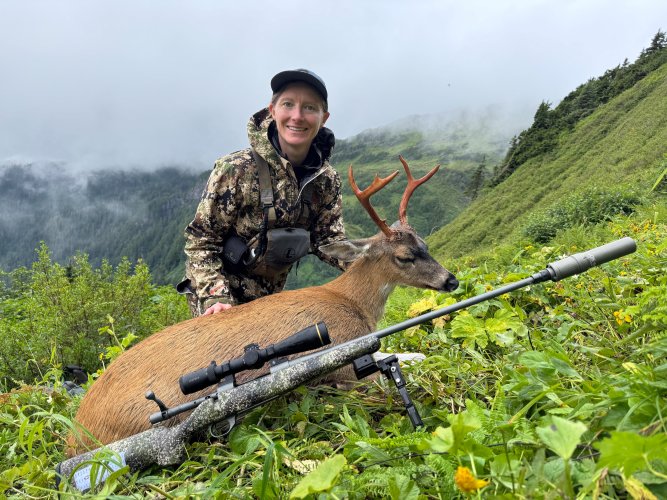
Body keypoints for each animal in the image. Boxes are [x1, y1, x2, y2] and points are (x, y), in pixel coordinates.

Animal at [67, 156, 458, 455]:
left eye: (425, 243)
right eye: (405, 256)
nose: (450, 280)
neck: (352, 303)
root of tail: (76, 435)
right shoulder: (345, 362)